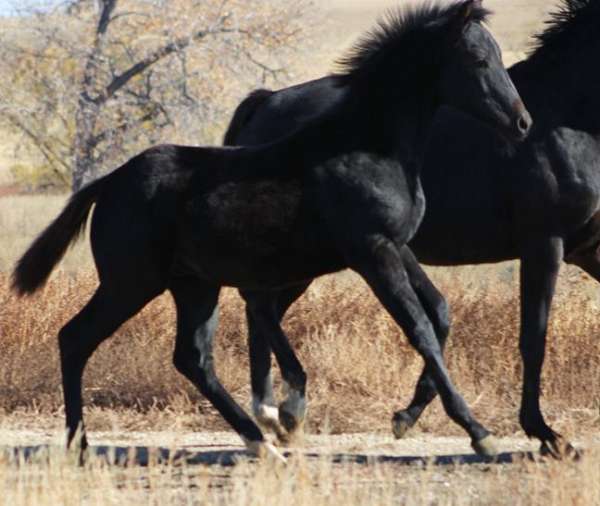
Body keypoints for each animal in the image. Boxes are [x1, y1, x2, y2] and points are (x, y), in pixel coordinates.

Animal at [12, 0, 528, 460]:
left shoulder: (397, 246)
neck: (369, 146)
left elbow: (437, 313)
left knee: (193, 357)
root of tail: (110, 181)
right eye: (478, 59)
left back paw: (261, 440)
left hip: (194, 285)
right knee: (76, 339)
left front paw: (409, 418)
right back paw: (81, 444)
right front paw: (479, 433)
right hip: (131, 282)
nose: (522, 123)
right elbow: (419, 327)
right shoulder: (373, 252)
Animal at [224, 0, 596, 456]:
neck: (569, 118)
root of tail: (265, 102)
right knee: (259, 307)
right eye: (479, 60)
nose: (522, 122)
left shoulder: (588, 248)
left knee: (261, 310)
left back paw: (274, 415)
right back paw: (277, 412)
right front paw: (543, 433)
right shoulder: (545, 243)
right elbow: (531, 337)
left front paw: (409, 416)